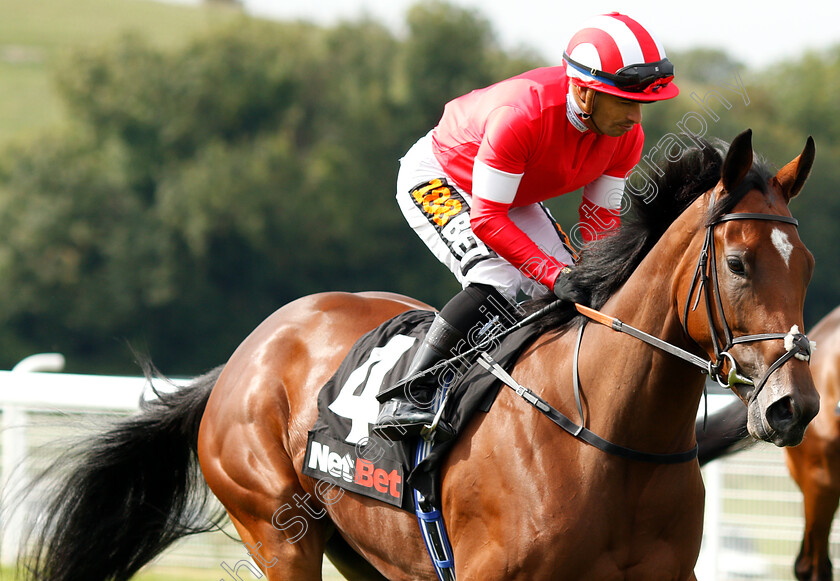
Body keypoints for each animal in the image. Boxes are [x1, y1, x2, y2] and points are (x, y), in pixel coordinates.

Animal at [18, 128, 820, 580]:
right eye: (739, 263)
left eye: (808, 263)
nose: (795, 406)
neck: (609, 436)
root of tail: (241, 358)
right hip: (275, 531)